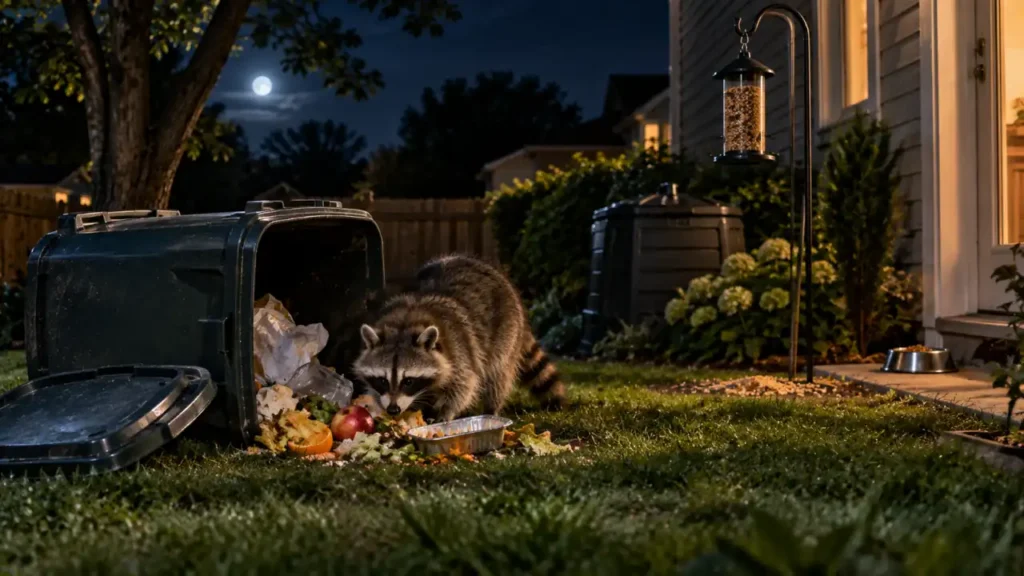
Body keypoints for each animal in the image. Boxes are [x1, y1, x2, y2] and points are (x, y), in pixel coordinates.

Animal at [350, 255, 564, 421]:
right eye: (382, 380)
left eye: (408, 381)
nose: (393, 409)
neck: (405, 322)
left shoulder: (459, 350)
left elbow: (463, 385)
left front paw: (445, 413)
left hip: (507, 331)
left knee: (498, 373)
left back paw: (492, 408)